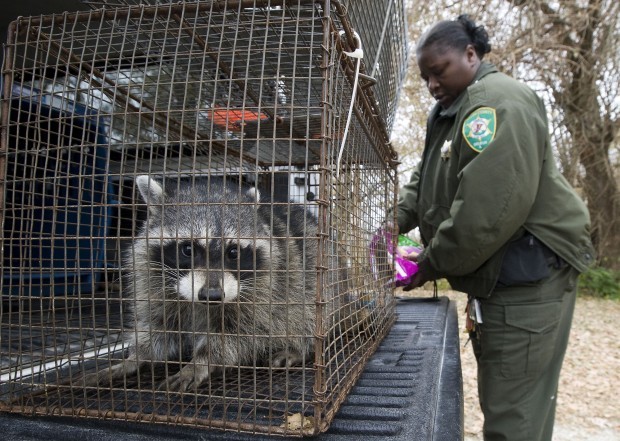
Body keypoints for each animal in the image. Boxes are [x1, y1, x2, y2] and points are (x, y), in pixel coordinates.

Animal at [89, 174, 320, 390]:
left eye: (233, 252)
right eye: (188, 250)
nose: (212, 295)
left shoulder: (265, 290)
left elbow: (238, 333)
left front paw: (200, 362)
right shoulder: (152, 278)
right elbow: (159, 325)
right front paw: (135, 357)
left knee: (306, 314)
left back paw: (299, 349)